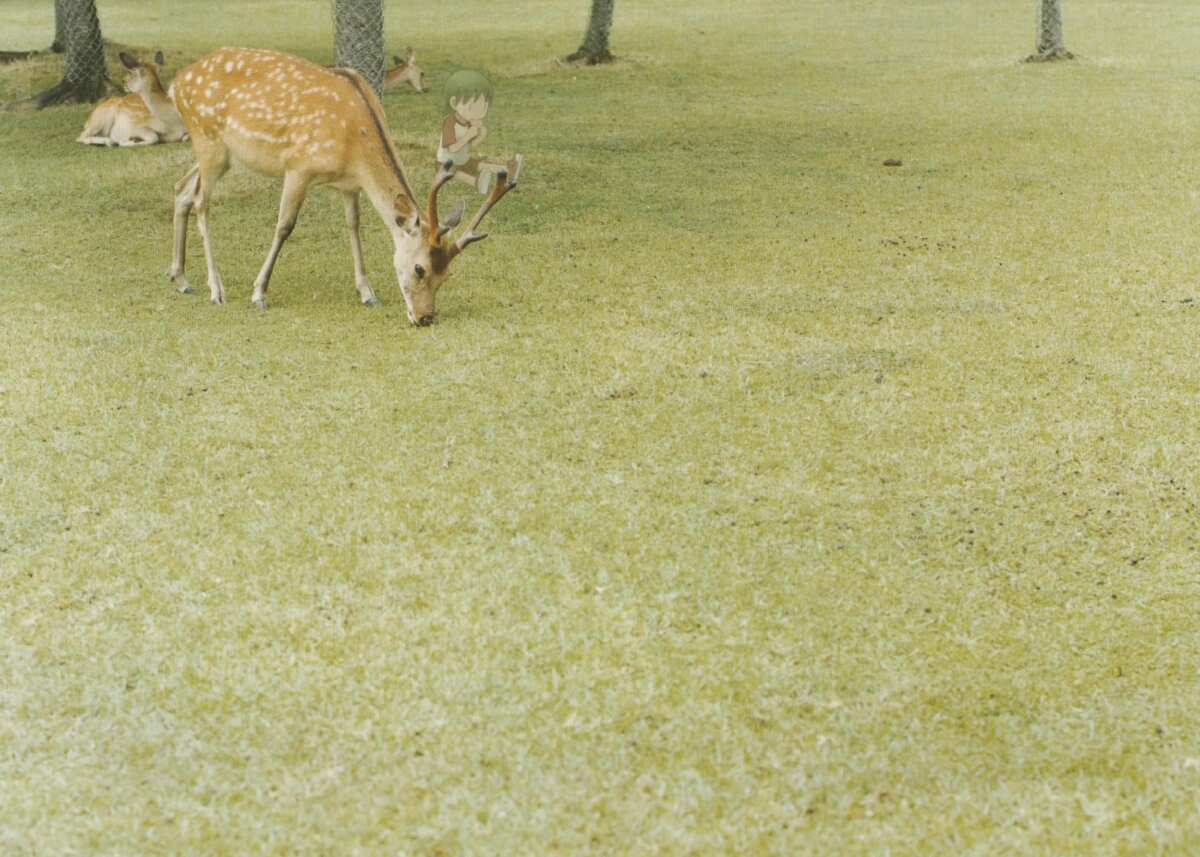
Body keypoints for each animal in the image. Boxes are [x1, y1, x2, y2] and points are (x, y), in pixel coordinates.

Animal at [167, 47, 521, 324]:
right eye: (420, 268)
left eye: (447, 274)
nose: (425, 317)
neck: (354, 143)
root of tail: (176, 82)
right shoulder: (299, 166)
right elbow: (284, 226)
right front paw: (259, 293)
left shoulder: (350, 184)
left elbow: (354, 225)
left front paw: (368, 293)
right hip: (208, 140)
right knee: (201, 203)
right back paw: (216, 289)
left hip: (221, 153)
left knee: (182, 189)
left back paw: (181, 278)